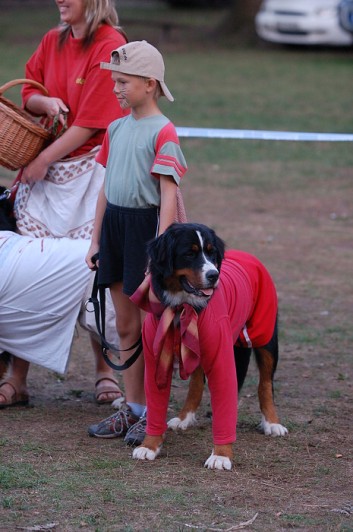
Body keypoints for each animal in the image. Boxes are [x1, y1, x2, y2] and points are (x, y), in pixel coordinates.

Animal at [130, 222, 286, 472]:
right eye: (189, 253)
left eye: (212, 253)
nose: (214, 275)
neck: (182, 306)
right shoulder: (156, 360)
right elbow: (155, 405)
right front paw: (149, 446)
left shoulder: (222, 358)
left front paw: (221, 455)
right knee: (196, 383)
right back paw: (184, 418)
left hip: (266, 336)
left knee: (265, 384)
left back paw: (272, 423)